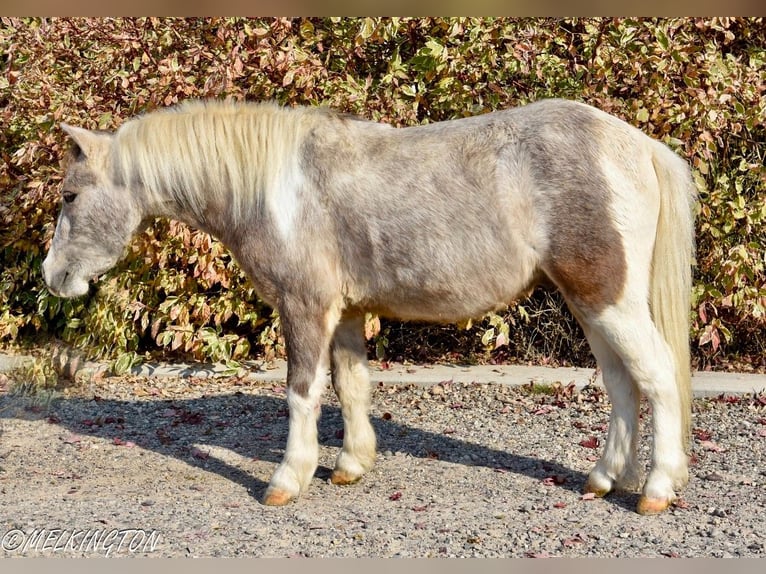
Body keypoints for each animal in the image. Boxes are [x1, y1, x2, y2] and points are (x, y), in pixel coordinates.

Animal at [45, 97, 700, 516]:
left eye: (71, 196)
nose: (54, 277)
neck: (277, 190)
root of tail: (637, 145)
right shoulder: (348, 313)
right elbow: (351, 383)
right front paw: (350, 465)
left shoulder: (304, 306)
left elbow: (302, 390)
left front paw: (288, 479)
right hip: (591, 304)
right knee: (621, 383)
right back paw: (603, 479)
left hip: (607, 300)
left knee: (658, 377)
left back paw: (657, 489)